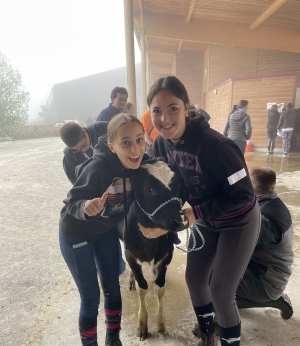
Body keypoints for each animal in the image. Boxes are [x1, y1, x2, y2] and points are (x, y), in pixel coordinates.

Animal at [121, 159, 188, 340]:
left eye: (178, 184)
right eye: (149, 188)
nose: (181, 221)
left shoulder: (167, 255)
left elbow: (160, 287)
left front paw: (161, 325)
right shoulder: (131, 254)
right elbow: (142, 287)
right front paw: (142, 325)